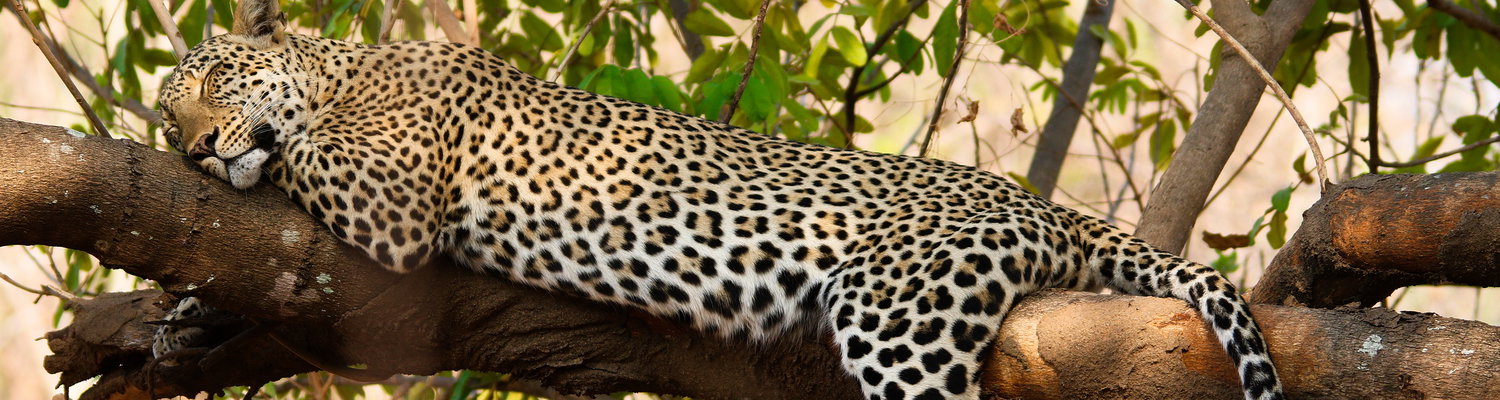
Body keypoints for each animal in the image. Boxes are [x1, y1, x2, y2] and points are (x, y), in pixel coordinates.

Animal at [152, 0, 1285, 398]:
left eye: (214, 81)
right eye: (166, 124)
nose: (195, 148)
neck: (346, 70)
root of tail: (1041, 205)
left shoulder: (389, 194)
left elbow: (296, 158)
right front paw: (185, 313)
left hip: (900, 314)